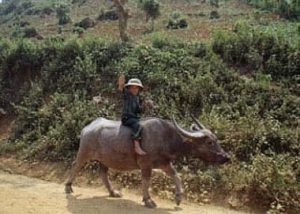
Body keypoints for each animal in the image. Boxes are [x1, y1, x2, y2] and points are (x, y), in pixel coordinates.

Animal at [65, 115, 230, 207]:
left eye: (216, 139)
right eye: (209, 142)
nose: (225, 157)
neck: (167, 137)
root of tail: (87, 128)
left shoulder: (164, 163)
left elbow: (177, 176)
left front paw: (178, 198)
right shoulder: (146, 165)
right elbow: (146, 181)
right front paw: (148, 200)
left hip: (104, 160)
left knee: (103, 173)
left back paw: (113, 192)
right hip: (84, 153)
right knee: (75, 166)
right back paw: (68, 187)